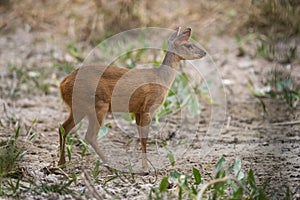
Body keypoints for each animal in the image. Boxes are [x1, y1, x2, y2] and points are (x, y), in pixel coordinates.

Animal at [57, 27, 205, 174]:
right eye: (188, 45)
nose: (204, 52)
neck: (162, 79)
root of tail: (63, 84)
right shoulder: (148, 107)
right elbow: (145, 138)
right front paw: (146, 168)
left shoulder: (138, 110)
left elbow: (140, 136)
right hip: (98, 104)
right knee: (90, 136)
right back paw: (110, 165)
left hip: (79, 107)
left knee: (63, 127)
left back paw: (61, 163)